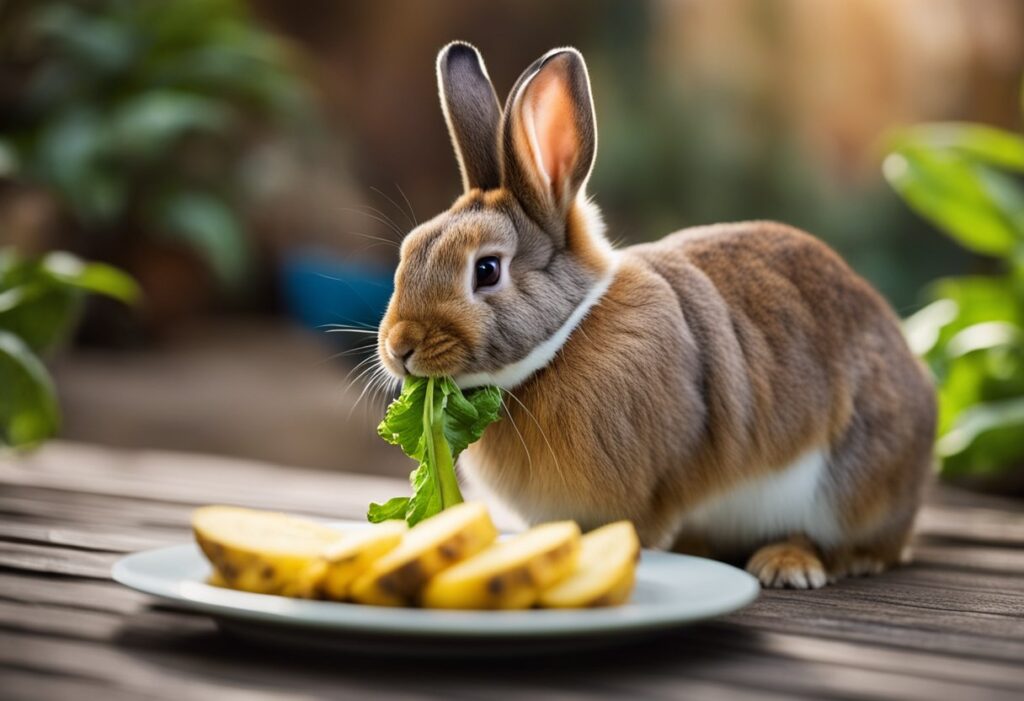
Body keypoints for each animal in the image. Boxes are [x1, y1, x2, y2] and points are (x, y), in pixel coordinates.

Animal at [375, 41, 937, 589]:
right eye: (410, 249)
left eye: (487, 270)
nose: (400, 347)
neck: (566, 338)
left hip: (851, 485)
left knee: (860, 546)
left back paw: (789, 564)